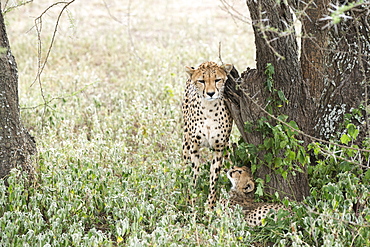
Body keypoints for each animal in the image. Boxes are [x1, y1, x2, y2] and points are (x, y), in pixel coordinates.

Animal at [183, 60, 233, 207]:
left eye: (217, 80)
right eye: (201, 81)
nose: (211, 93)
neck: (209, 109)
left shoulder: (219, 148)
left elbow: (214, 178)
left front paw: (210, 206)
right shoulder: (194, 147)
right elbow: (193, 175)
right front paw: (191, 201)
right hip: (185, 142)